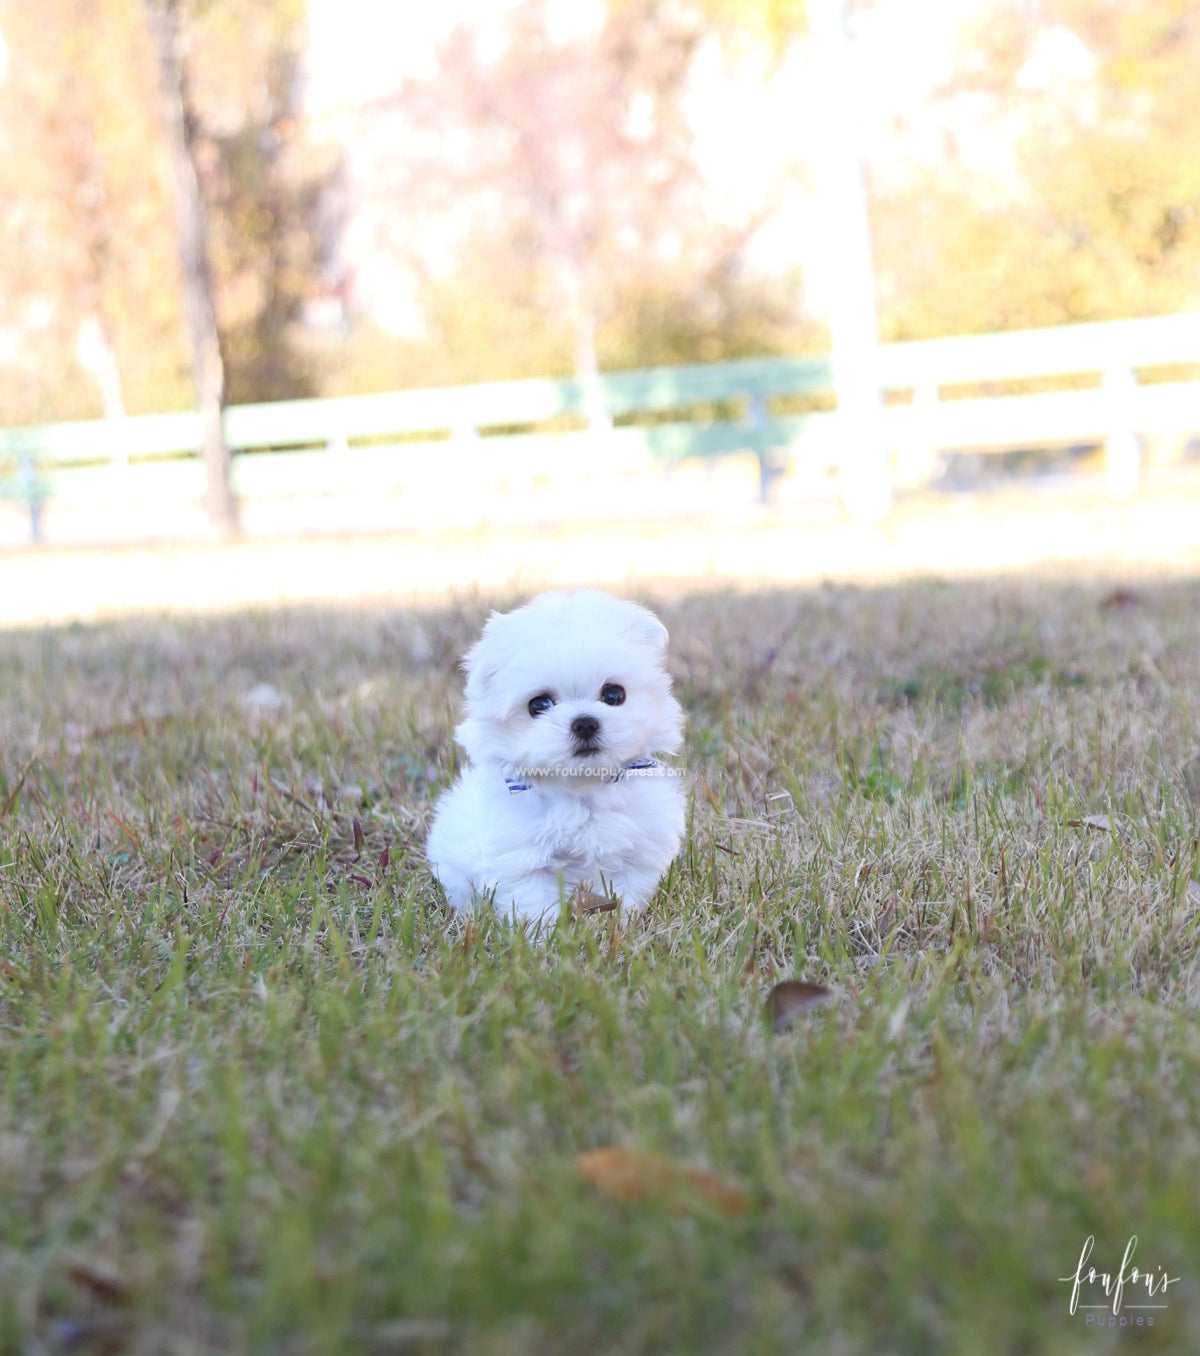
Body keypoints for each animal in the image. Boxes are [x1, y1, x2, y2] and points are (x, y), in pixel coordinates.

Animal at [431, 591, 688, 922]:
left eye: (614, 694)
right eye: (538, 705)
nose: (585, 722)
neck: (583, 791)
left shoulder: (638, 851)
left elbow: (626, 892)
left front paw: (622, 924)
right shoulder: (523, 860)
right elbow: (534, 902)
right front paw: (543, 934)